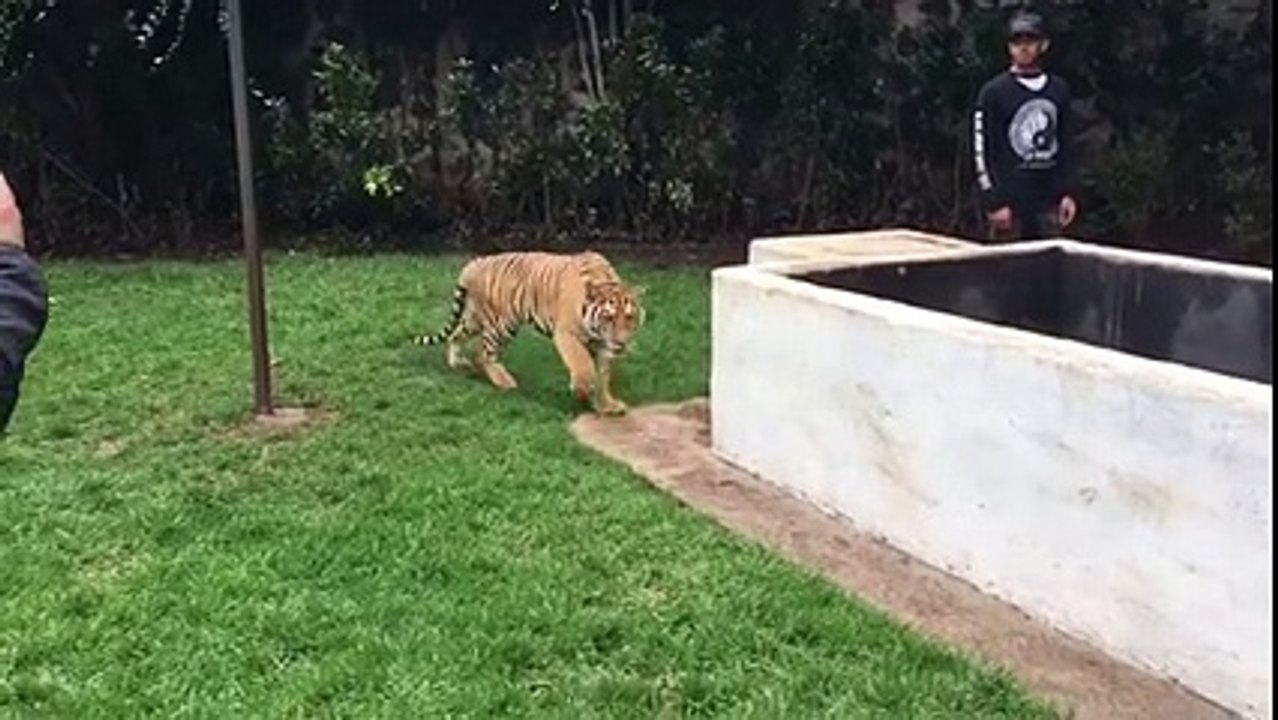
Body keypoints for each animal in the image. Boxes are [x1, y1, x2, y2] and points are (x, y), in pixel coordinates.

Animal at [413, 250, 646, 416]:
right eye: (608, 318)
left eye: (629, 318)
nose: (621, 343)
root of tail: (476, 262)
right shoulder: (567, 334)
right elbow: (582, 365)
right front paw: (582, 389)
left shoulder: (602, 345)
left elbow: (603, 376)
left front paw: (606, 405)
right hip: (501, 324)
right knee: (483, 354)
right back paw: (504, 382)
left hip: (474, 317)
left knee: (456, 334)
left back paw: (456, 362)